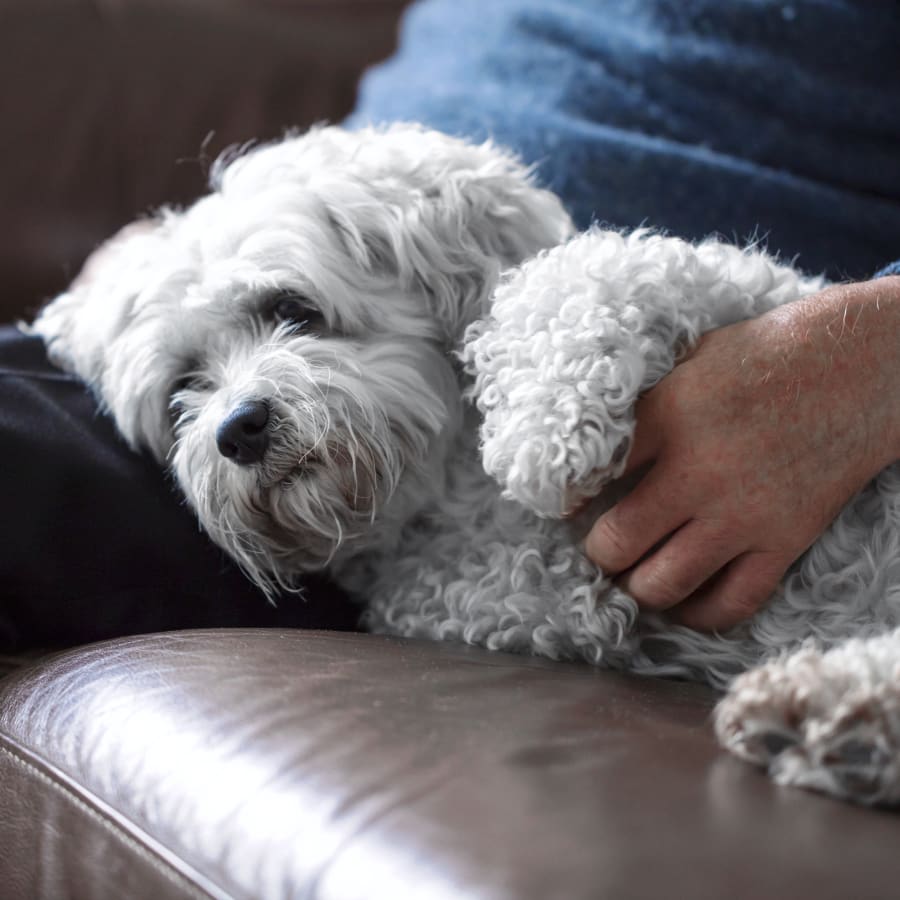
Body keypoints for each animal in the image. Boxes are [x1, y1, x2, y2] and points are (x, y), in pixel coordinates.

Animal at [33, 123, 900, 804]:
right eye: (187, 384)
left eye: (290, 308)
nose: (238, 430)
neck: (453, 491)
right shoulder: (493, 595)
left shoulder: (754, 302)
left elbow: (591, 269)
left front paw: (543, 434)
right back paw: (827, 717)